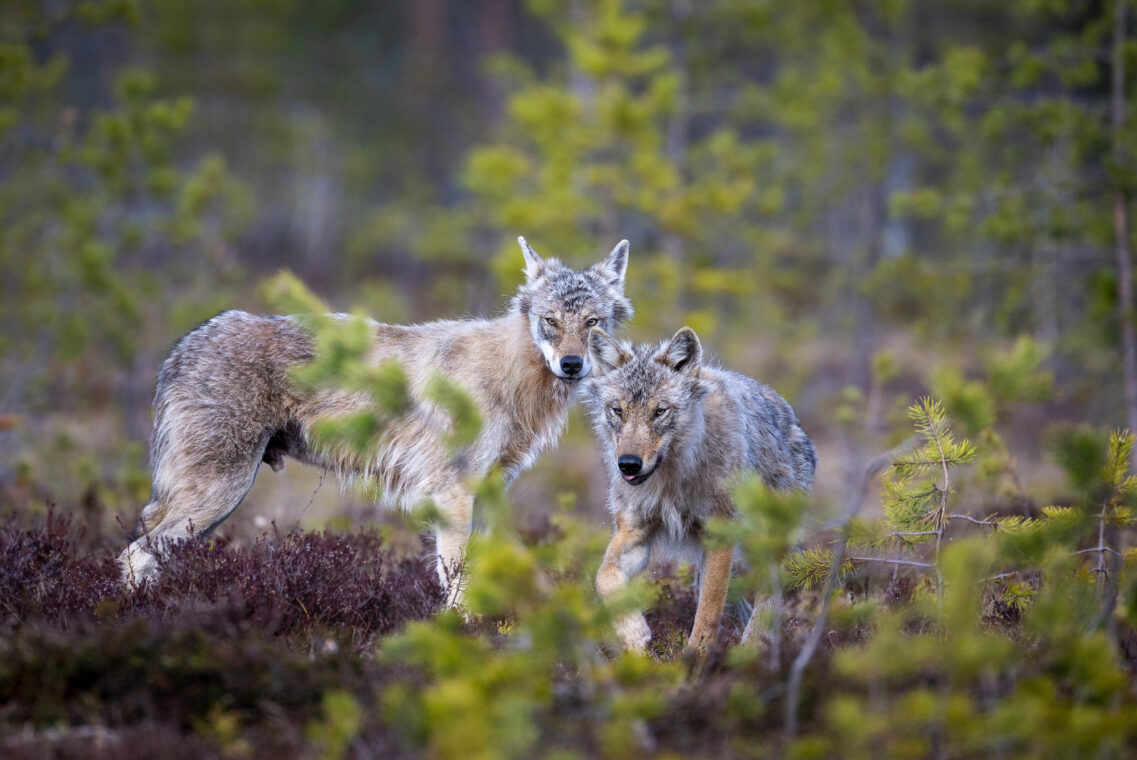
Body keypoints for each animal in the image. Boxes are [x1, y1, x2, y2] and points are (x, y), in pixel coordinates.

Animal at [121, 237, 636, 605]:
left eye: (592, 322)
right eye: (551, 320)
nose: (572, 365)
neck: (511, 376)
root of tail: (183, 347)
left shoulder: (489, 495)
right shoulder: (452, 497)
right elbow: (458, 585)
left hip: (212, 510)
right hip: (219, 496)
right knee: (133, 554)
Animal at [582, 323, 814, 650]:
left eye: (659, 411)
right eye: (618, 411)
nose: (628, 464)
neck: (671, 479)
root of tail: (794, 420)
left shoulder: (721, 535)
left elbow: (708, 609)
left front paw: (695, 658)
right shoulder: (635, 532)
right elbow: (603, 577)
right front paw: (634, 632)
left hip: (761, 543)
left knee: (771, 590)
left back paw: (754, 645)